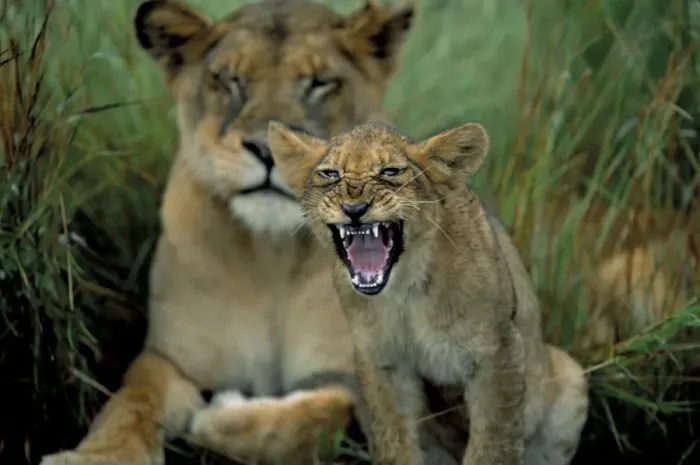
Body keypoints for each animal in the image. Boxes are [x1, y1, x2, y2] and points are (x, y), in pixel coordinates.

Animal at [39, 1, 415, 464]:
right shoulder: (172, 358)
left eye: (319, 83)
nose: (269, 149)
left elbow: (319, 418)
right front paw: (98, 456)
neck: (272, 258)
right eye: (229, 80)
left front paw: (217, 416)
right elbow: (131, 401)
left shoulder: (368, 377)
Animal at [266, 120, 591, 465]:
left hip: (570, 377)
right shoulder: (382, 359)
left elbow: (493, 444)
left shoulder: (497, 350)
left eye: (390, 171)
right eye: (330, 174)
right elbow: (394, 441)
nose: (354, 208)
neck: (405, 288)